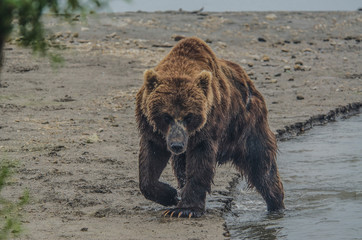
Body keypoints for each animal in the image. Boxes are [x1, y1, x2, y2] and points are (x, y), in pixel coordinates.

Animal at [134, 36, 284, 218]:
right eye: (166, 116)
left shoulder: (208, 126)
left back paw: (276, 204)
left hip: (248, 124)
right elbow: (150, 161)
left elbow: (200, 162)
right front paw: (170, 195)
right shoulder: (152, 129)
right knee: (180, 166)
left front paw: (185, 209)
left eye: (189, 116)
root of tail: (250, 83)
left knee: (261, 164)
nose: (177, 145)